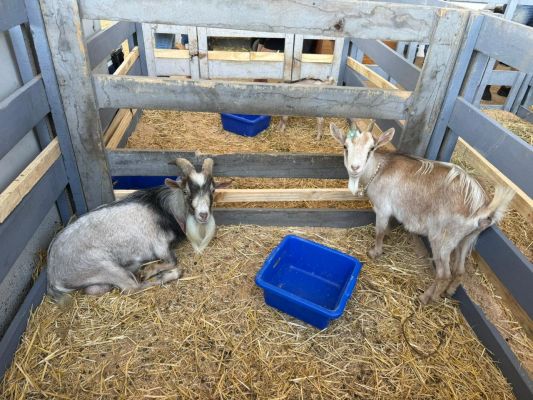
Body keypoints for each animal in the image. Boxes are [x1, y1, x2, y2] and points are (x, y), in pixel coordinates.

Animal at [47, 158, 226, 301]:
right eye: (185, 191)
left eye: (213, 190)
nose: (203, 215)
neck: (165, 208)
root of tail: (52, 276)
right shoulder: (159, 245)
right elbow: (172, 260)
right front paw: (148, 270)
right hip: (103, 266)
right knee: (131, 287)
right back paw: (170, 274)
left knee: (95, 289)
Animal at [330, 121, 514, 304]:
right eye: (345, 146)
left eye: (371, 148)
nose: (355, 167)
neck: (379, 169)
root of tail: (481, 207)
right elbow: (387, 228)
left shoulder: (382, 208)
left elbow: (379, 232)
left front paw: (375, 252)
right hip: (467, 239)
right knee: (459, 270)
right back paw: (448, 292)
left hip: (442, 239)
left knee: (443, 274)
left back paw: (426, 298)